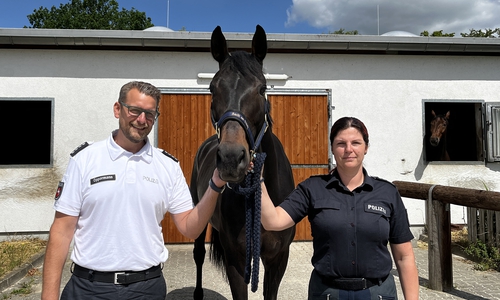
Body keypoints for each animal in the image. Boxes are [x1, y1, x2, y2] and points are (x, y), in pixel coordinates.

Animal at [189, 26, 294, 300]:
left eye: (262, 88)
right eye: (212, 88)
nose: (230, 158)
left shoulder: (278, 259)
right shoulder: (235, 261)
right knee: (198, 254)